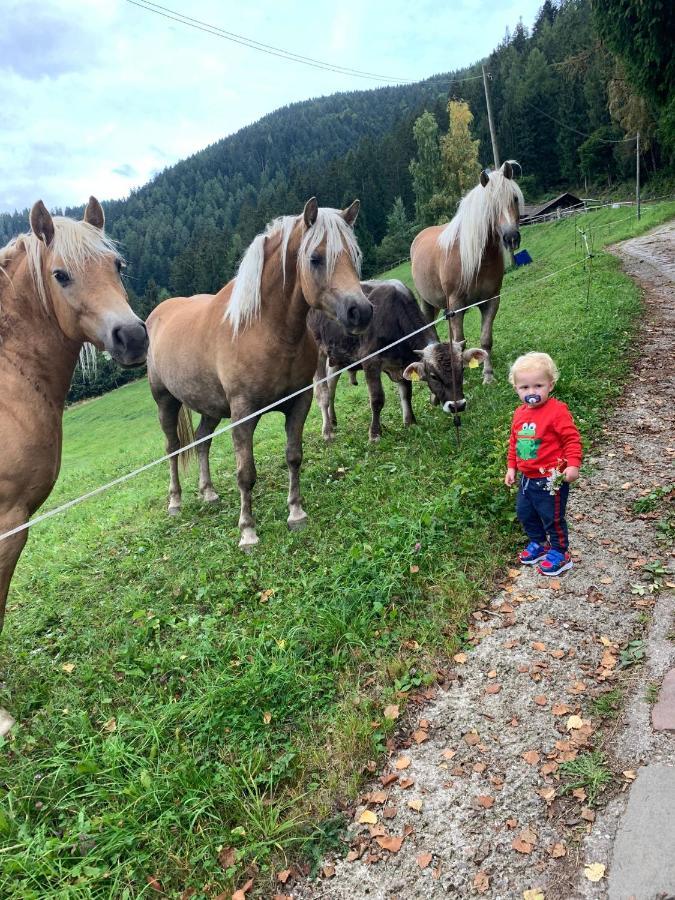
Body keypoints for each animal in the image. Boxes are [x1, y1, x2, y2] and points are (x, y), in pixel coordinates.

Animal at [146, 198, 374, 548]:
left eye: (355, 254)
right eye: (315, 258)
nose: (360, 312)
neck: (262, 328)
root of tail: (157, 314)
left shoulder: (299, 404)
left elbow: (294, 456)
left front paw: (296, 513)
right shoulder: (243, 414)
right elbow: (246, 473)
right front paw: (248, 532)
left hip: (210, 406)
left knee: (201, 441)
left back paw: (208, 493)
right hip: (165, 403)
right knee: (173, 449)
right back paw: (176, 502)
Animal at [412, 163, 524, 394]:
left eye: (515, 198)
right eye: (490, 205)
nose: (511, 238)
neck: (477, 259)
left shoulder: (491, 300)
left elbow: (486, 340)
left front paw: (488, 375)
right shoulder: (457, 305)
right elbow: (459, 340)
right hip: (427, 302)